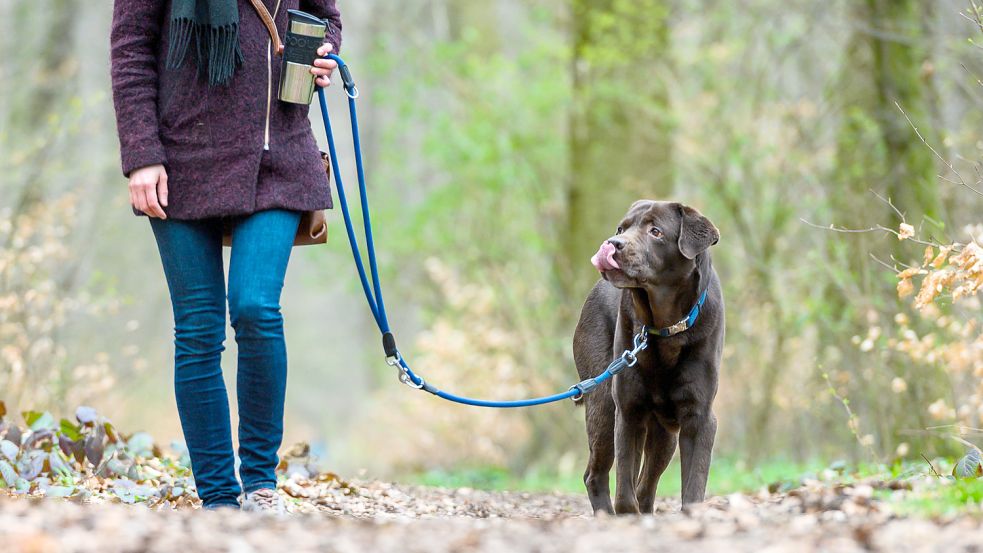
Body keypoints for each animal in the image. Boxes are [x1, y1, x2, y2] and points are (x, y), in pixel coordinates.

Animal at [576, 201, 724, 516]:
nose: (613, 243)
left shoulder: (699, 416)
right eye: (622, 228)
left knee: (646, 483)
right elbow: (624, 490)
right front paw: (626, 514)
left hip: (665, 433)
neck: (666, 327)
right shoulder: (628, 410)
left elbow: (693, 486)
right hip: (603, 405)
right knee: (597, 474)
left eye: (655, 231)